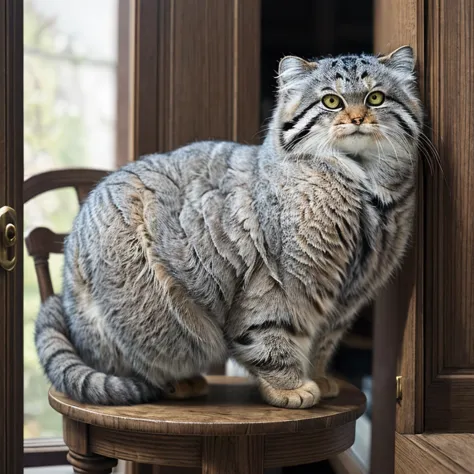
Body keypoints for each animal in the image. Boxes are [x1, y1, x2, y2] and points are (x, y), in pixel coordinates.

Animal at [36, 46, 422, 408]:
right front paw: (290, 386)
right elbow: (273, 338)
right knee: (134, 365)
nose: (357, 117)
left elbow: (322, 345)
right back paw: (179, 383)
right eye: (331, 101)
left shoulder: (347, 300)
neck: (362, 192)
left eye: (375, 98)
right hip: (146, 320)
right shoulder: (281, 285)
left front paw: (318, 376)